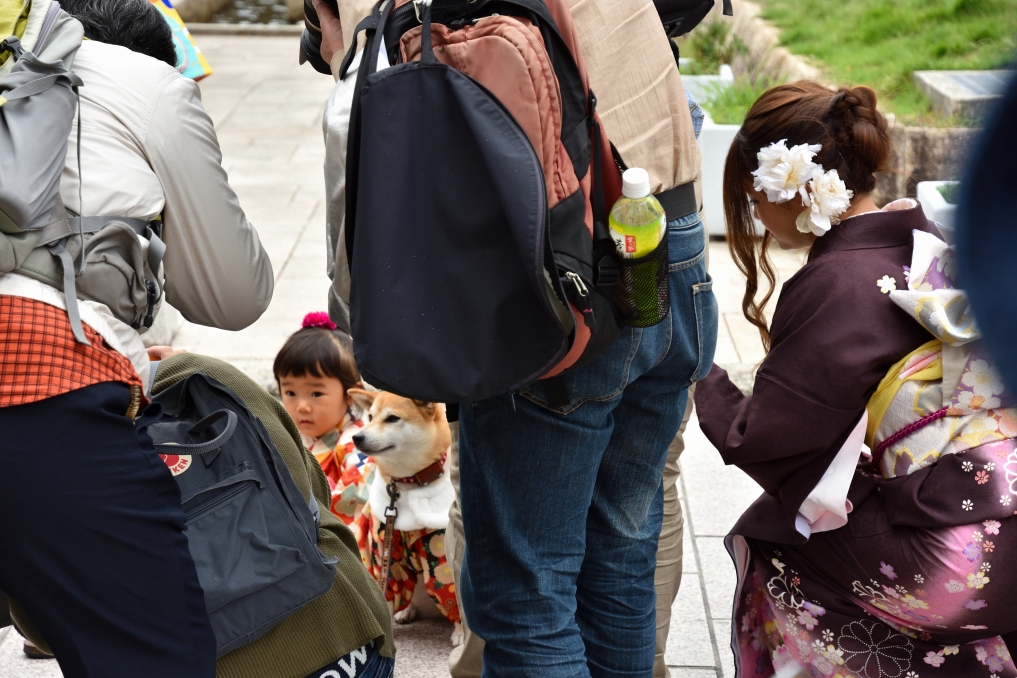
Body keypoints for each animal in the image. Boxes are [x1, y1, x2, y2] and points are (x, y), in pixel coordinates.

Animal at [346, 389, 464, 647]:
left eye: (392, 418)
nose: (357, 437)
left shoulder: (439, 554)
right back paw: (406, 611)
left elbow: (451, 592)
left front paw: (461, 633)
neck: (409, 483)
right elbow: (389, 589)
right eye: (370, 417)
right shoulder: (384, 549)